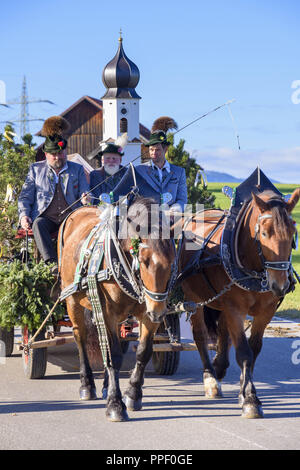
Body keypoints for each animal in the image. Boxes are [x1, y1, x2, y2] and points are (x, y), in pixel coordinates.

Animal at [58, 196, 176, 422]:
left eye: (172, 260)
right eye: (144, 260)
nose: (158, 312)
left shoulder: (146, 313)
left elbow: (142, 352)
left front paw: (133, 394)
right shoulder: (108, 312)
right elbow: (114, 355)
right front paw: (115, 404)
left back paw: (105, 385)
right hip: (72, 300)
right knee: (81, 338)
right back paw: (87, 384)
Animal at [179, 187, 298, 418]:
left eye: (293, 233)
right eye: (264, 233)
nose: (279, 285)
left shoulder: (266, 312)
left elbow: (254, 348)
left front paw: (244, 389)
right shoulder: (235, 309)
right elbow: (244, 352)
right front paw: (251, 399)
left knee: (223, 332)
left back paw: (220, 366)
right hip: (193, 298)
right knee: (200, 335)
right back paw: (210, 378)